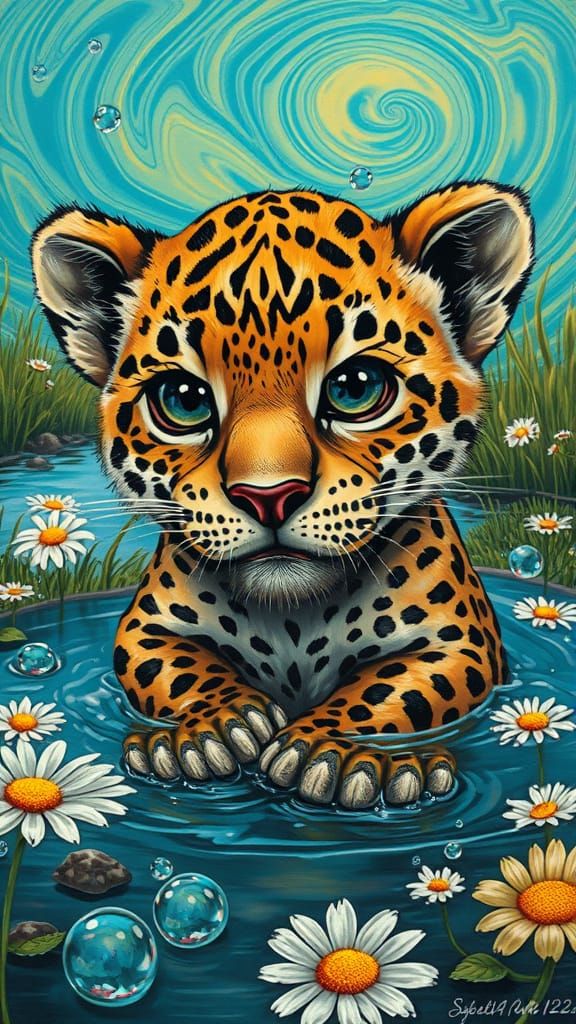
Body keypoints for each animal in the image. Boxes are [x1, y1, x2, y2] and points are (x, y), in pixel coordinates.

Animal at [31, 179, 533, 810]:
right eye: (184, 399)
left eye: (356, 387)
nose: (268, 496)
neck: (294, 617)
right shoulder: (144, 628)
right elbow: (175, 667)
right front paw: (215, 727)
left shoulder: (460, 643)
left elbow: (392, 689)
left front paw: (334, 753)